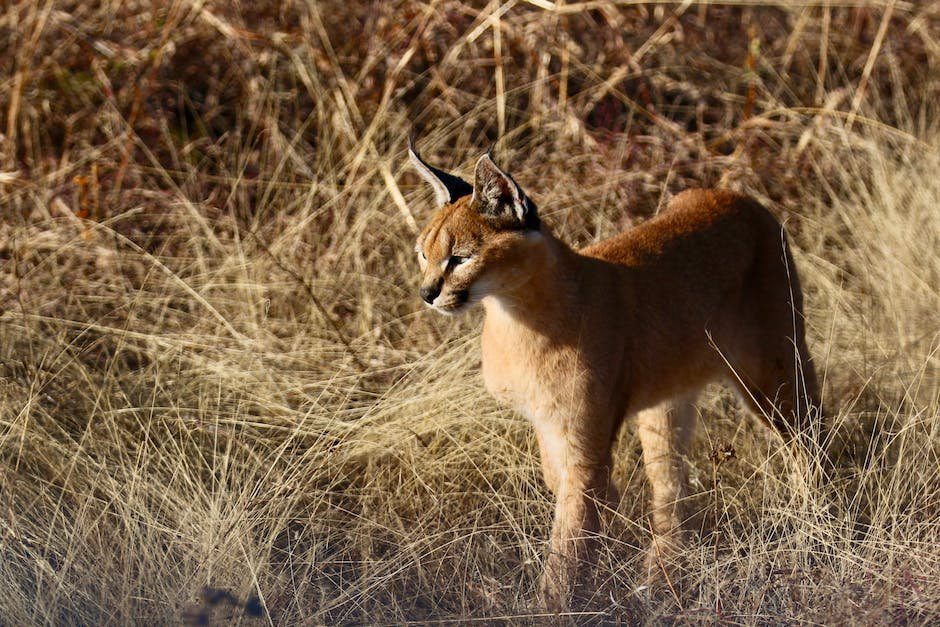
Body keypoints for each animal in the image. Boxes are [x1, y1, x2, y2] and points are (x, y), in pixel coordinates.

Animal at [408, 136, 820, 608]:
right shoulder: (549, 425)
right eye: (423, 253)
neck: (516, 312)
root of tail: (735, 196)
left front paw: (554, 604)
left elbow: (571, 528)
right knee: (670, 485)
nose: (426, 293)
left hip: (772, 369)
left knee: (809, 439)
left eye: (460, 258)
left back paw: (815, 527)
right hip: (667, 401)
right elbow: (565, 491)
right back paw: (660, 576)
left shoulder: (584, 437)